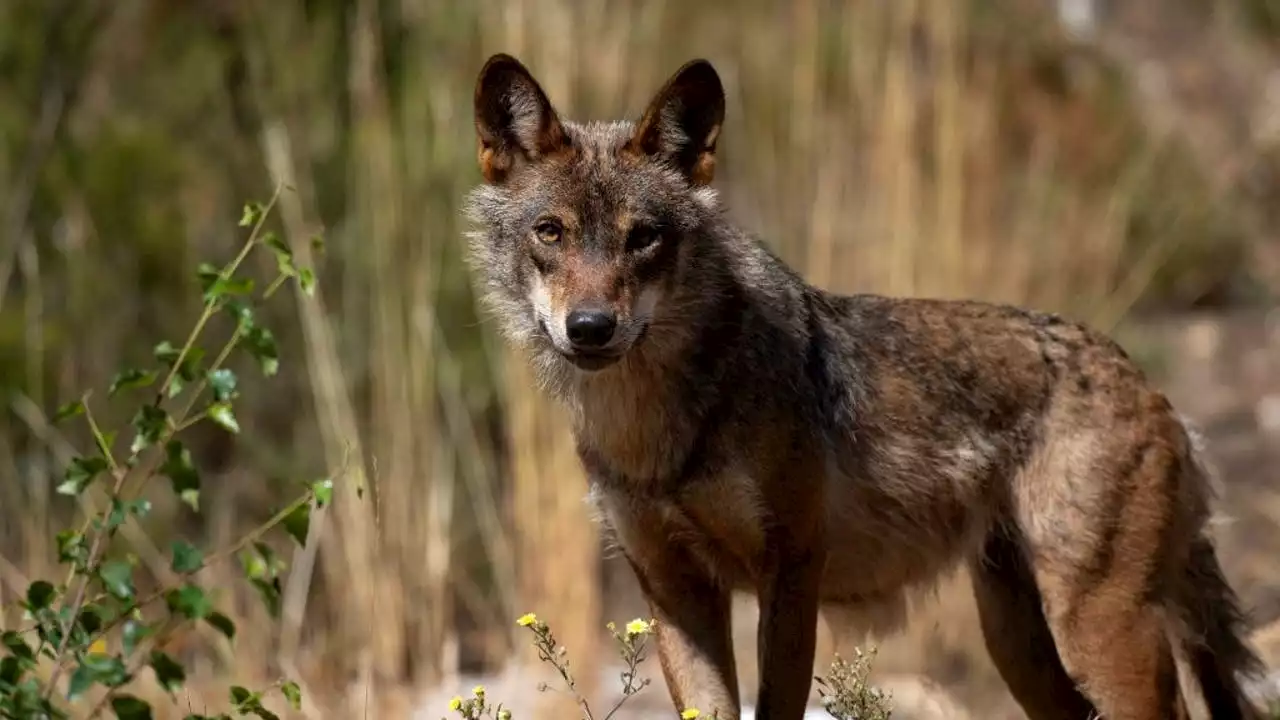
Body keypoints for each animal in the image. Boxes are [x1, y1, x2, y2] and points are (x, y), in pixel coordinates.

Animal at [458, 51, 1259, 717]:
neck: (657, 428)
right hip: (1020, 648)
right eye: (551, 232)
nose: (591, 328)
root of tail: (1151, 386)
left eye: (643, 237)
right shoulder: (674, 590)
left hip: (1096, 633)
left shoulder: (791, 573)